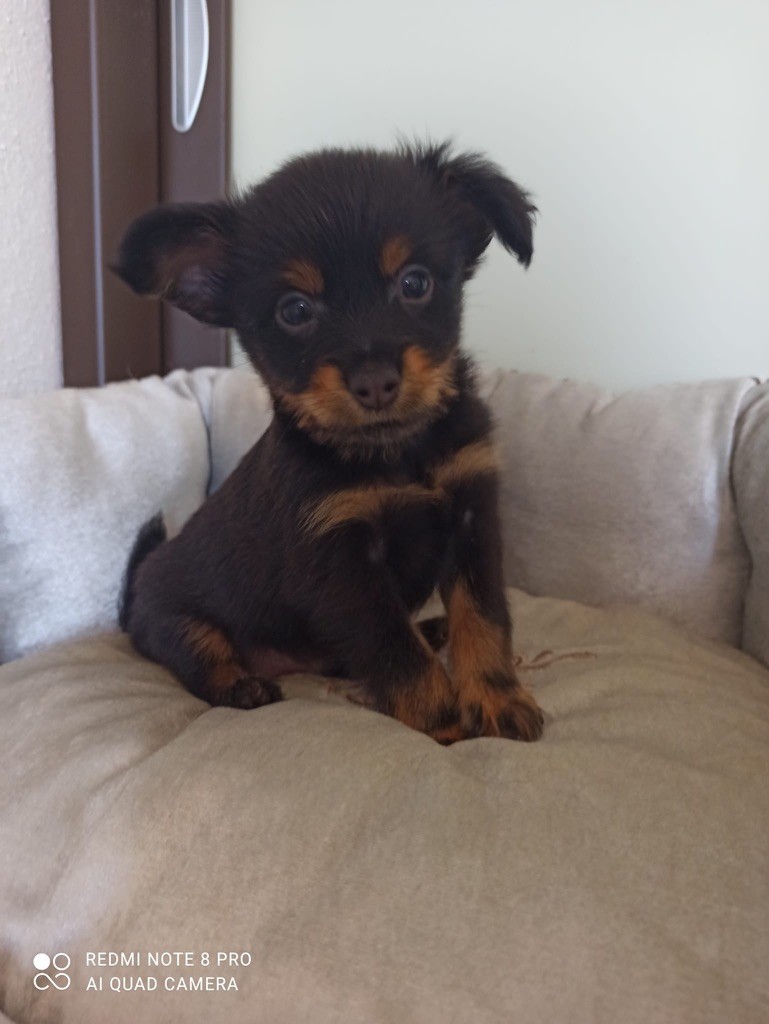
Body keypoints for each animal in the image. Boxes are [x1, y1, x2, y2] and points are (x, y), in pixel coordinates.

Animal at [115, 141, 544, 745]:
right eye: (295, 311)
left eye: (415, 283)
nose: (375, 380)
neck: (396, 453)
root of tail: (132, 598)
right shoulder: (340, 568)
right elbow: (395, 650)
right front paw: (444, 723)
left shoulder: (471, 514)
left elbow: (483, 617)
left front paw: (495, 697)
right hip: (172, 618)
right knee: (199, 655)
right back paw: (241, 685)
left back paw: (433, 629)